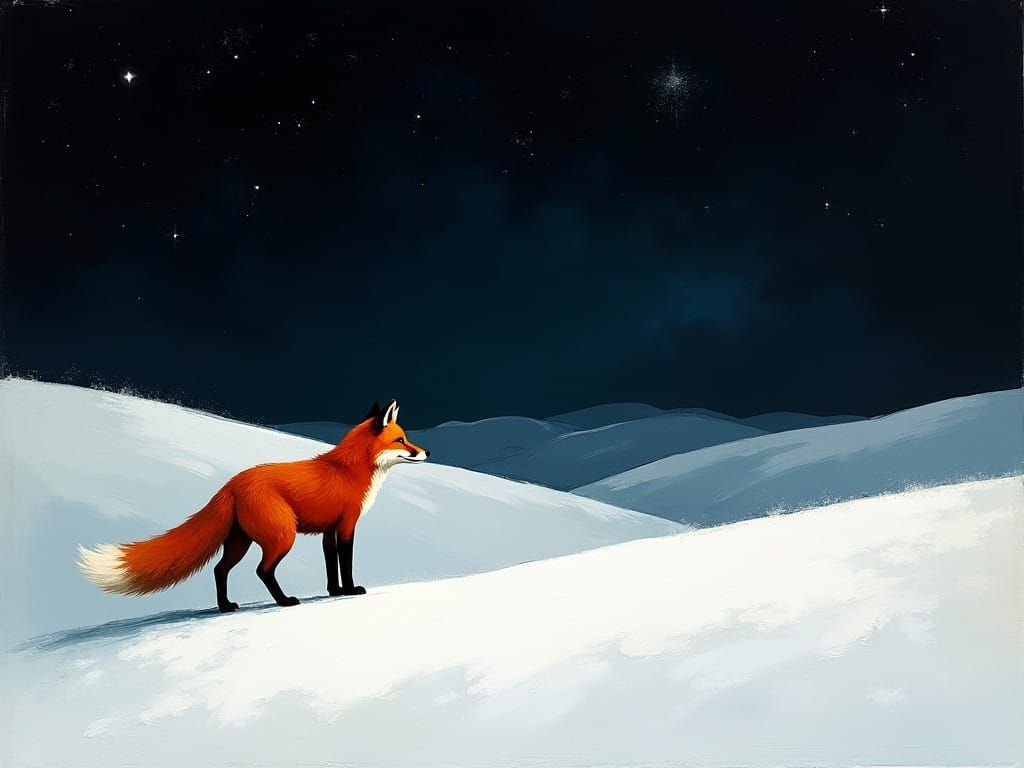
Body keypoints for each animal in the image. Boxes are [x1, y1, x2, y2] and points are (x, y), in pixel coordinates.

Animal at [77, 398, 428, 612]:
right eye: (401, 440)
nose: (426, 452)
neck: (348, 470)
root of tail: (232, 483)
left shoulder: (329, 530)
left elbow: (331, 565)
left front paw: (335, 591)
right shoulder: (346, 525)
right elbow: (346, 563)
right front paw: (351, 589)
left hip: (240, 541)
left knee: (219, 569)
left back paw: (225, 606)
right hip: (281, 536)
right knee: (263, 570)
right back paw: (284, 601)